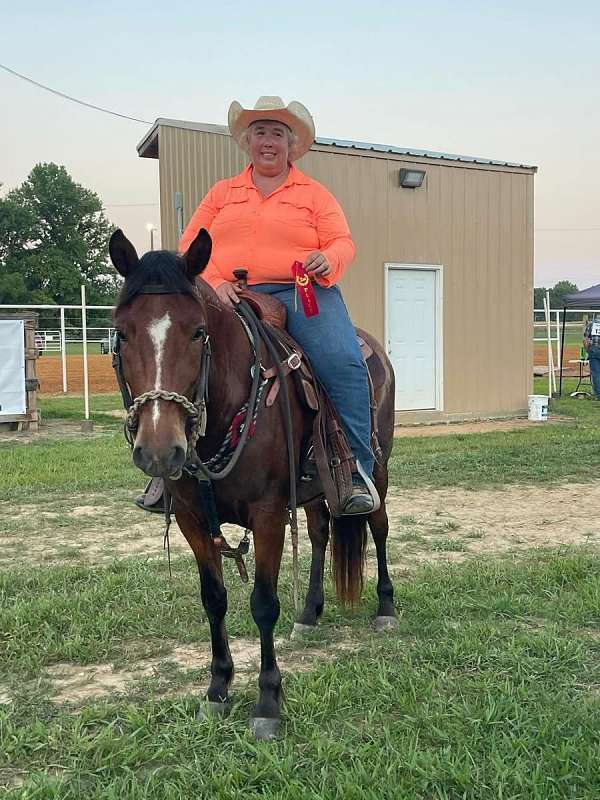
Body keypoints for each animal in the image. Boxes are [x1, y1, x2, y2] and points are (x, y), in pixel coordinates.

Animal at [109, 227, 397, 739]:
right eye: (122, 332)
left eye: (198, 331)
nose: (160, 449)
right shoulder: (193, 520)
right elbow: (214, 599)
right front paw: (217, 689)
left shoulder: (267, 515)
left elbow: (263, 603)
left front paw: (267, 703)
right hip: (315, 488)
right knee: (320, 533)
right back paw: (310, 612)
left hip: (377, 470)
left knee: (378, 527)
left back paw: (385, 609)